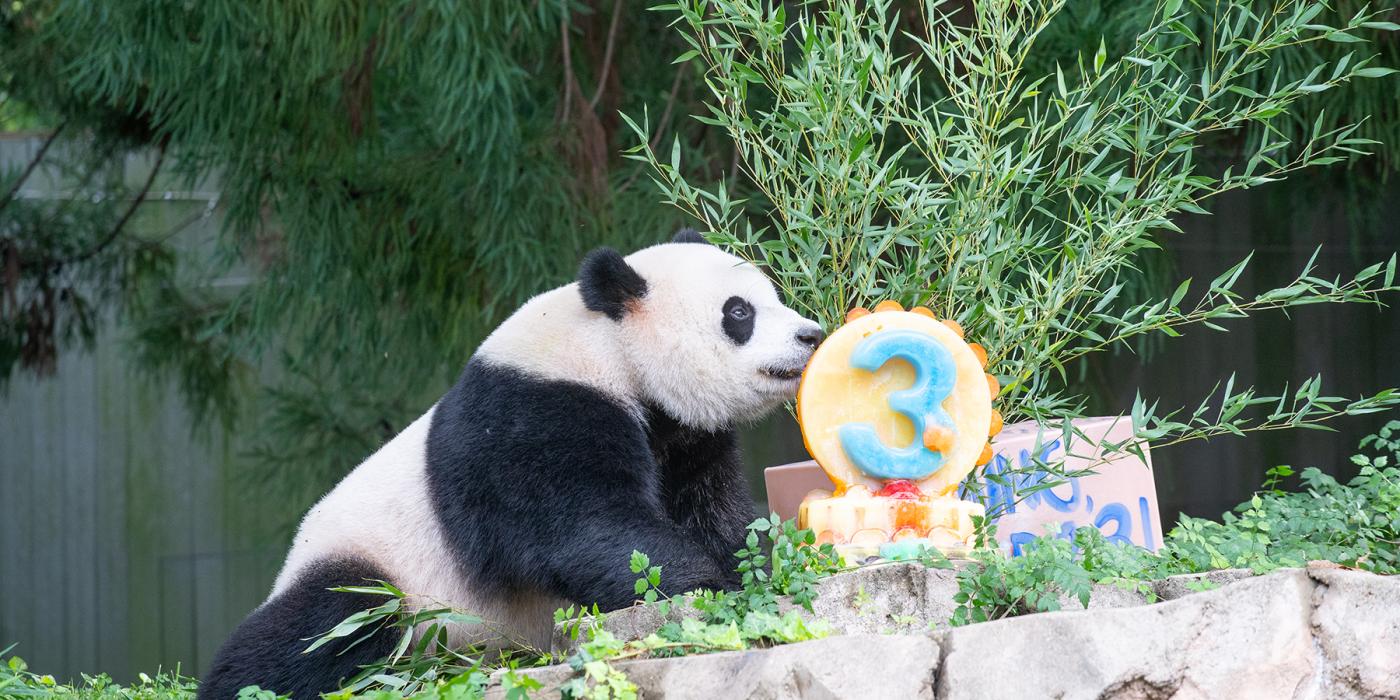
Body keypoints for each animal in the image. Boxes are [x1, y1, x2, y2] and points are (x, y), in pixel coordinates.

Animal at [203, 229, 823, 694]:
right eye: (739, 312)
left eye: (770, 297)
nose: (811, 334)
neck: (609, 349)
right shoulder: (530, 413)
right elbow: (583, 528)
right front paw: (710, 588)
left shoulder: (682, 433)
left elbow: (712, 509)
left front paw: (761, 568)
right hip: (379, 570)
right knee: (327, 628)